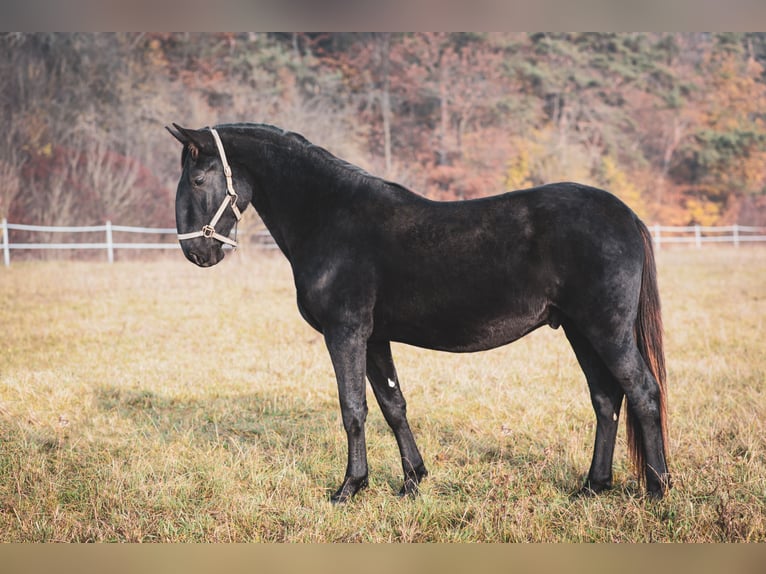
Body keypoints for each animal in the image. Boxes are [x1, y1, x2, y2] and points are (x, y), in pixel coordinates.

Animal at [168, 122, 672, 504]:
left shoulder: (345, 332)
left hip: (606, 331)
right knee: (606, 399)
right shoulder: (374, 338)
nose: (196, 252)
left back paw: (657, 489)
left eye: (197, 180)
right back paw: (593, 486)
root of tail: (626, 216)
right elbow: (393, 405)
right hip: (579, 331)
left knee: (643, 392)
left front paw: (349, 488)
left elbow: (353, 408)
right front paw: (413, 480)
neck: (331, 217)